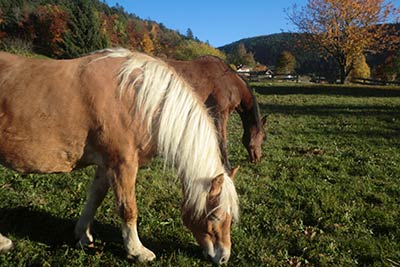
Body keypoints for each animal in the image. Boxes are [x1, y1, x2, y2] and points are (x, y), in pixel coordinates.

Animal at [0, 48, 238, 266]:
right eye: (216, 216)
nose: (223, 257)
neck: (135, 98)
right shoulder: (123, 164)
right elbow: (128, 208)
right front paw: (137, 251)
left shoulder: (106, 165)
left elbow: (95, 197)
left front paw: (83, 235)